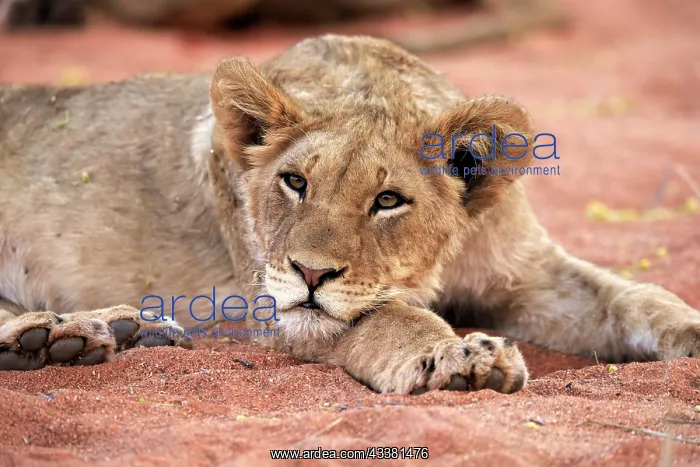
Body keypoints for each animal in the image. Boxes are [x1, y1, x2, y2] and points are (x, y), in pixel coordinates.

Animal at [1, 35, 699, 395]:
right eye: (295, 182)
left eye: (387, 200)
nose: (310, 274)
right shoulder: (283, 311)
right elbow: (393, 321)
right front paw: (457, 357)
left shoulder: (527, 274)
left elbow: (631, 297)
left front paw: (689, 331)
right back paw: (58, 337)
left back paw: (116, 332)